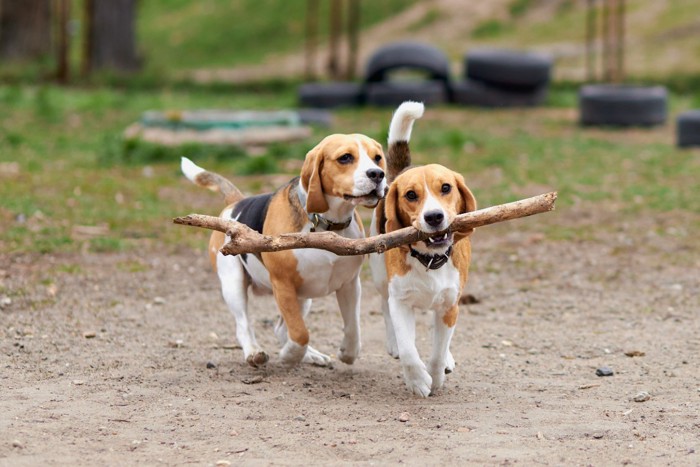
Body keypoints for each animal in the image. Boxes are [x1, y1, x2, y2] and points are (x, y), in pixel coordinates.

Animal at [182, 133, 388, 370]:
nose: (377, 174)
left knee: (281, 328)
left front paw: (347, 353)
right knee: (244, 325)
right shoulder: (283, 284)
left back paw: (311, 355)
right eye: (345, 158)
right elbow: (300, 333)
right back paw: (254, 352)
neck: (326, 224)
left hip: (303, 297)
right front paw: (290, 355)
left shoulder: (350, 284)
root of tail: (235, 203)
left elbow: (353, 327)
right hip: (234, 283)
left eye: (377, 158)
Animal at [370, 100, 478, 396]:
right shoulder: (401, 302)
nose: (434, 217)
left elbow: (438, 351)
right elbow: (409, 352)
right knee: (384, 305)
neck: (430, 260)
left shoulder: (450, 304)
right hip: (381, 277)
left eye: (446, 188)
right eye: (410, 195)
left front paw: (437, 374)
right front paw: (418, 380)